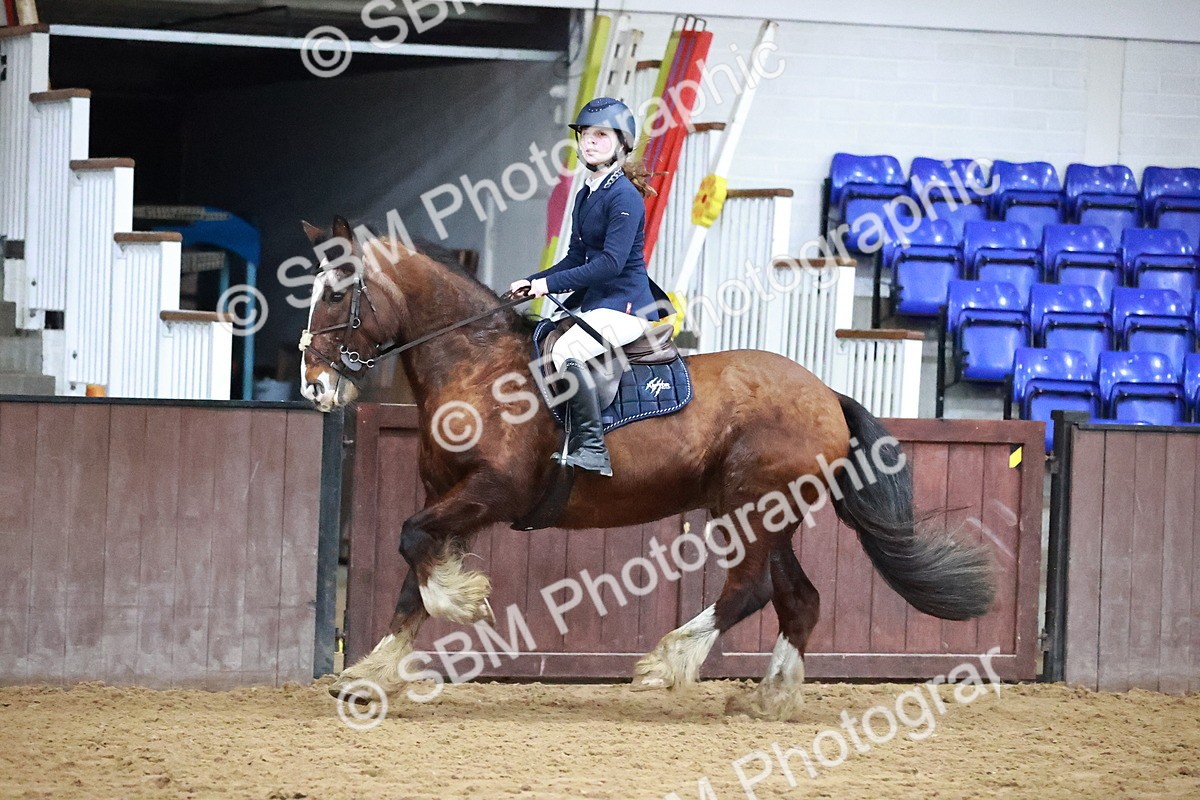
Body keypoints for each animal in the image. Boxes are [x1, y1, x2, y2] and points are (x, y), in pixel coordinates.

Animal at [299, 216, 995, 720]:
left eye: (335, 293)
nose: (313, 387)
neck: (478, 367)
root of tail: (827, 394)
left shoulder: (492, 491)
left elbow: (412, 545)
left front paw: (464, 603)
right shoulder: (449, 495)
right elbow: (411, 575)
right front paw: (370, 674)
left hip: (750, 508)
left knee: (750, 591)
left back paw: (666, 662)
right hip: (766, 514)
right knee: (799, 600)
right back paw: (770, 698)